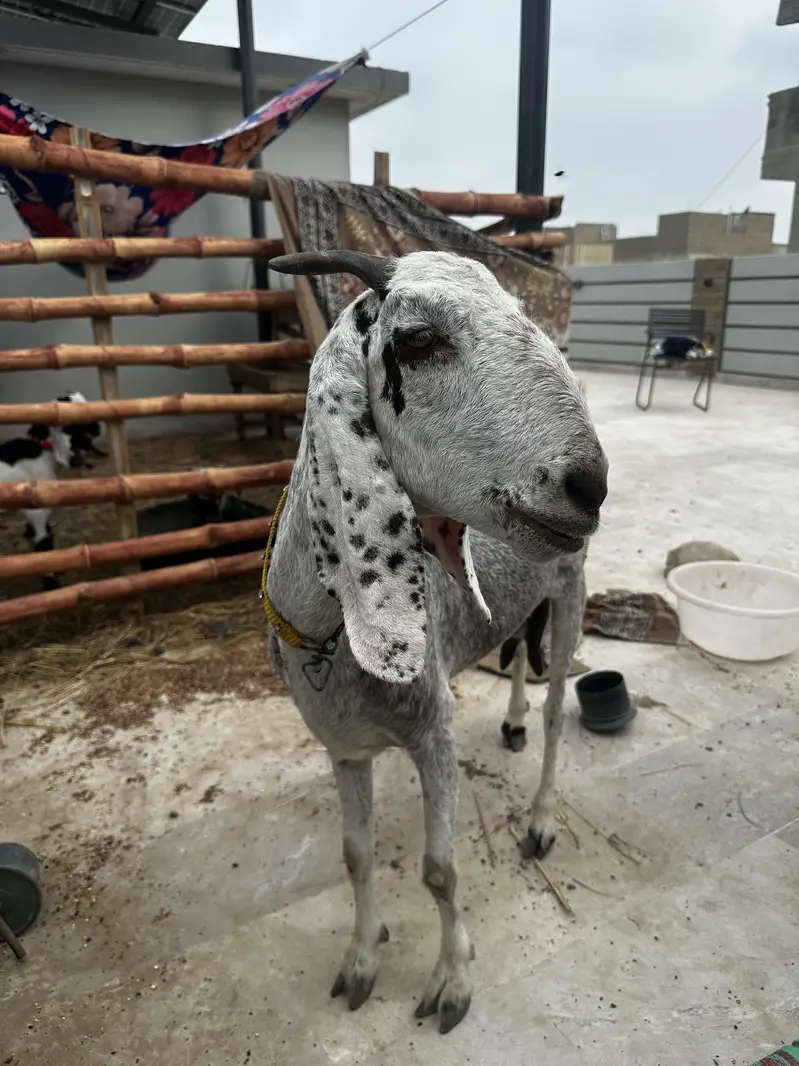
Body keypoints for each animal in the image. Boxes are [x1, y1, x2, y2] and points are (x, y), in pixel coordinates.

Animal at [0, 391, 103, 589]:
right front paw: (51, 583)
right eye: (66, 428)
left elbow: (37, 535)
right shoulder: (37, 508)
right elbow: (43, 543)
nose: (74, 460)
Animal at [263, 250, 608, 1034]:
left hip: (571, 585)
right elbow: (356, 857)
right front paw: (361, 959)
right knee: (518, 654)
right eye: (417, 340)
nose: (589, 484)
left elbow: (440, 871)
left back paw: (540, 817)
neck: (328, 641)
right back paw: (511, 718)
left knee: (556, 712)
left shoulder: (433, 730)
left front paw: (451, 979)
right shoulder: (343, 746)